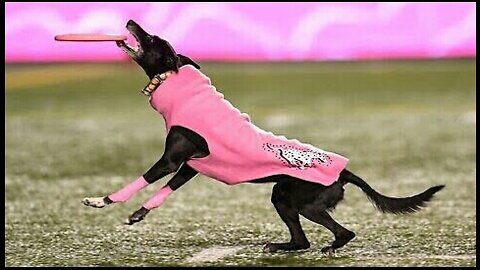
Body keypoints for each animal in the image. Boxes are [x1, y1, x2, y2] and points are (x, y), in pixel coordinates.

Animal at [81, 20, 442, 253]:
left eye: (152, 38)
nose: (130, 21)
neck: (175, 83)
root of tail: (345, 171)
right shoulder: (192, 166)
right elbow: (164, 191)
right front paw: (140, 213)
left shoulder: (171, 160)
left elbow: (139, 182)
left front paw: (102, 200)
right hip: (283, 197)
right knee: (301, 241)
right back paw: (282, 247)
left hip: (304, 201)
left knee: (344, 233)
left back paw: (330, 247)